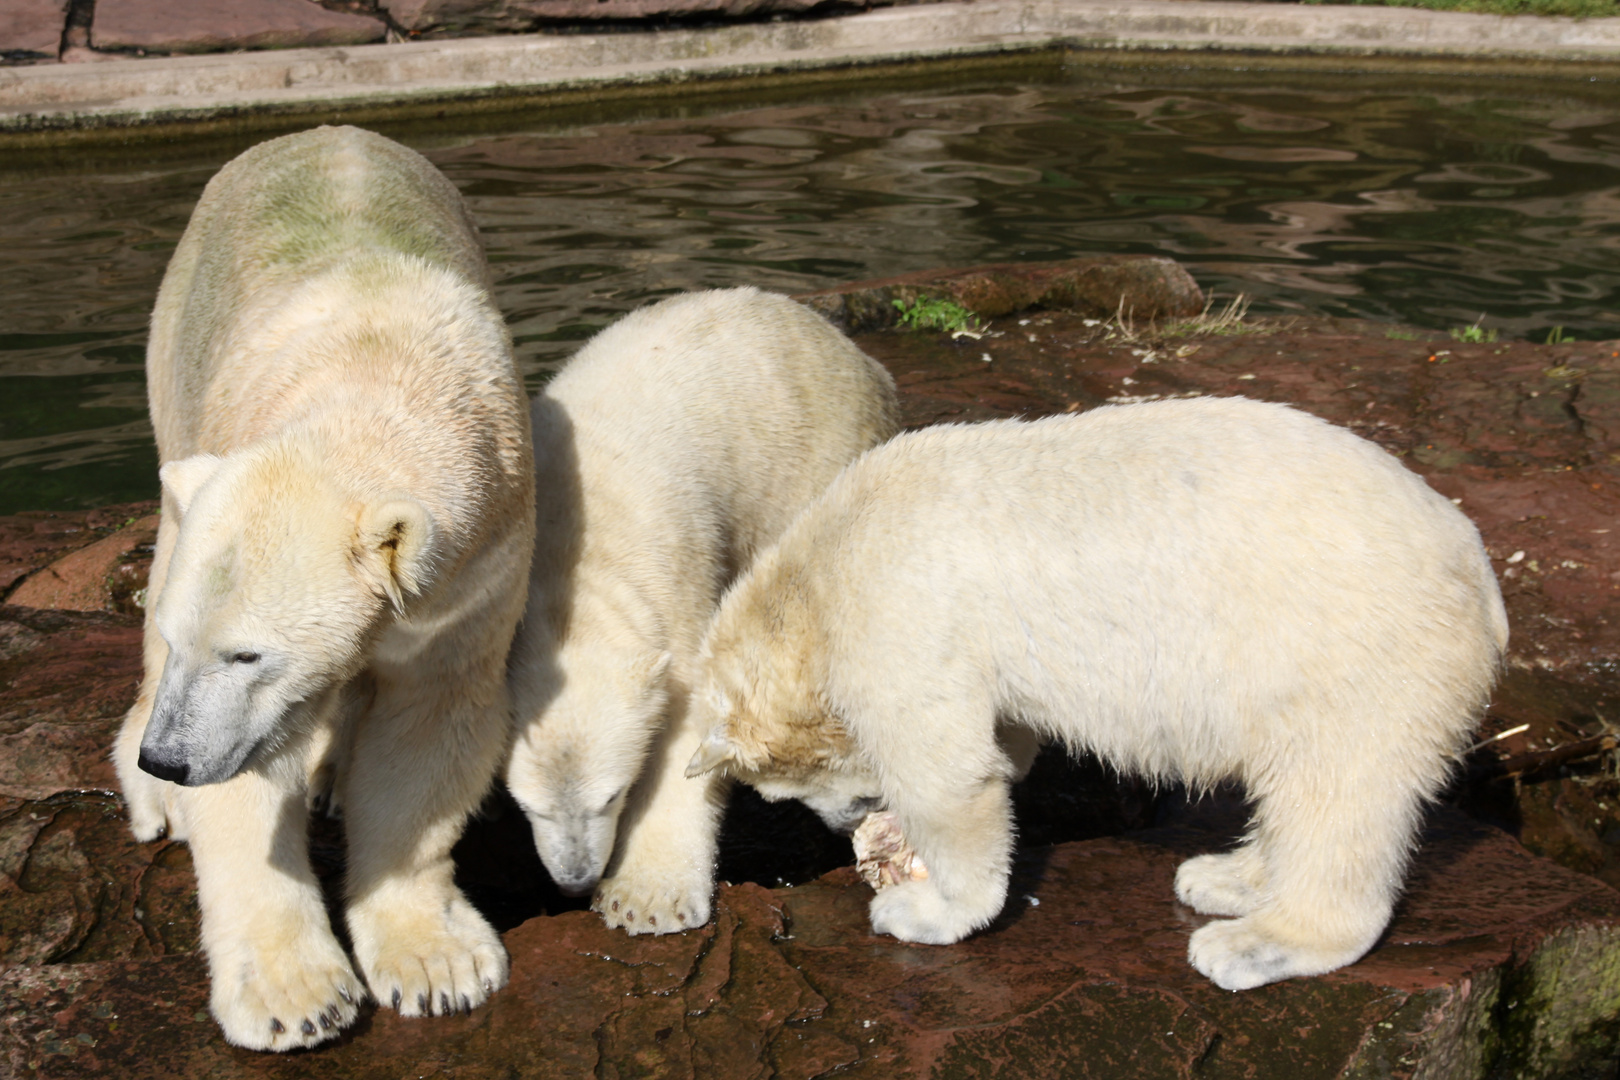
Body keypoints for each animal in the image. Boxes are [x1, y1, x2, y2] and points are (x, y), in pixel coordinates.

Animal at [114, 124, 531, 1049]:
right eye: (185, 640)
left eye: (247, 653)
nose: (170, 758)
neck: (375, 377)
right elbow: (246, 775)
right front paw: (294, 999)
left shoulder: (474, 573)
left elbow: (429, 728)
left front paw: (436, 967)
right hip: (174, 351)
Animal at [508, 289, 900, 939]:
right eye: (526, 805)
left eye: (611, 795)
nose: (575, 880)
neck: (568, 577)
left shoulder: (672, 584)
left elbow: (691, 726)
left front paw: (645, 900)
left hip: (812, 460)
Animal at [683, 396, 1503, 990]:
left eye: (781, 795)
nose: (851, 823)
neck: (815, 574)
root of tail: (1482, 579)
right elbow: (1006, 738)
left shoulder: (894, 618)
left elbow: (952, 777)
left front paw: (920, 907)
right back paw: (1226, 877)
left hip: (1355, 651)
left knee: (1337, 792)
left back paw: (1253, 942)